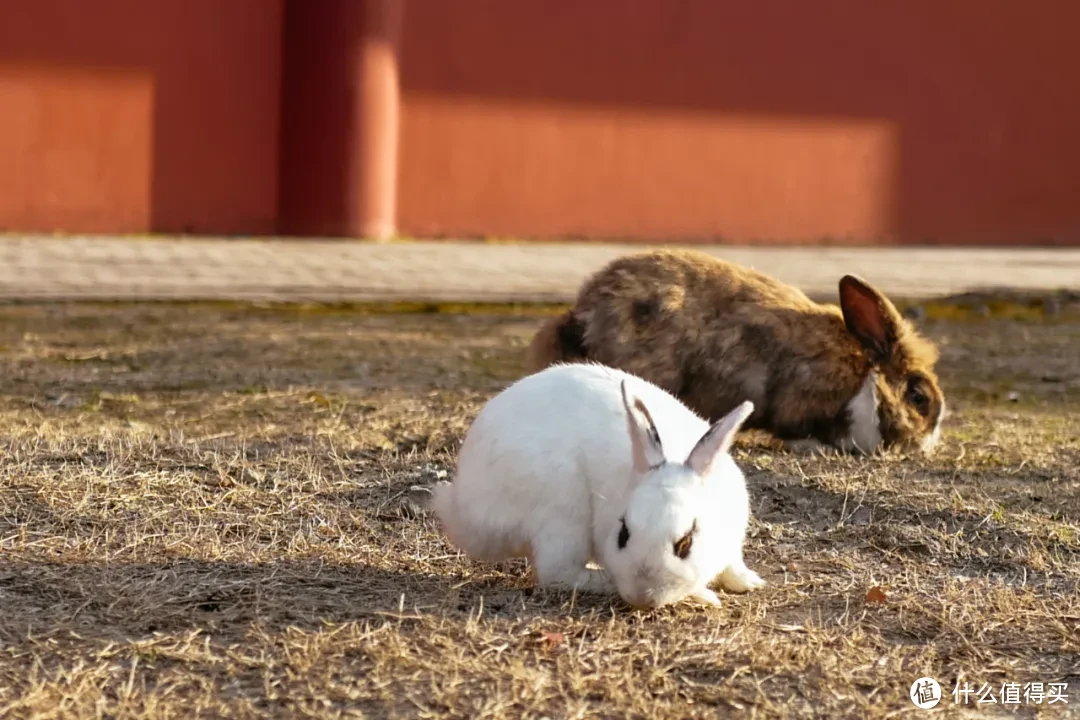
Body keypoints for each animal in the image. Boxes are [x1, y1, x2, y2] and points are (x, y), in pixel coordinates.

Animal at [425, 367, 764, 608]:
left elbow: (733, 563)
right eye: (623, 534)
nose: (643, 598)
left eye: (686, 544)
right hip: (563, 511)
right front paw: (705, 595)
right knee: (558, 573)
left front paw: (750, 582)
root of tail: (463, 512)